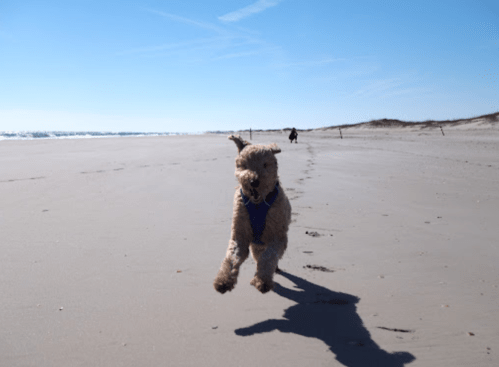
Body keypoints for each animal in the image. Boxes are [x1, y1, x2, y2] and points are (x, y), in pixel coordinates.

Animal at [213, 137, 292, 294]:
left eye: (265, 164)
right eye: (244, 164)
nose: (253, 181)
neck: (258, 203)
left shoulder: (277, 236)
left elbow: (268, 257)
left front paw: (262, 281)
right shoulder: (240, 234)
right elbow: (232, 257)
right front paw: (223, 281)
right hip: (256, 245)